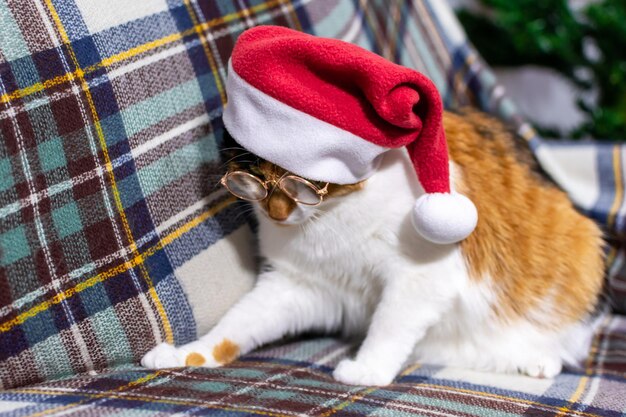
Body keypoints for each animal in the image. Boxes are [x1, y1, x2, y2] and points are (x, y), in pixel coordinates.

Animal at [143, 108, 604, 386]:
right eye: (250, 180)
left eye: (306, 185)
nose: (276, 213)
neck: (329, 223)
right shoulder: (299, 285)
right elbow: (237, 326)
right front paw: (188, 355)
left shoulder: (421, 278)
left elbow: (389, 324)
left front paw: (366, 371)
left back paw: (538, 358)